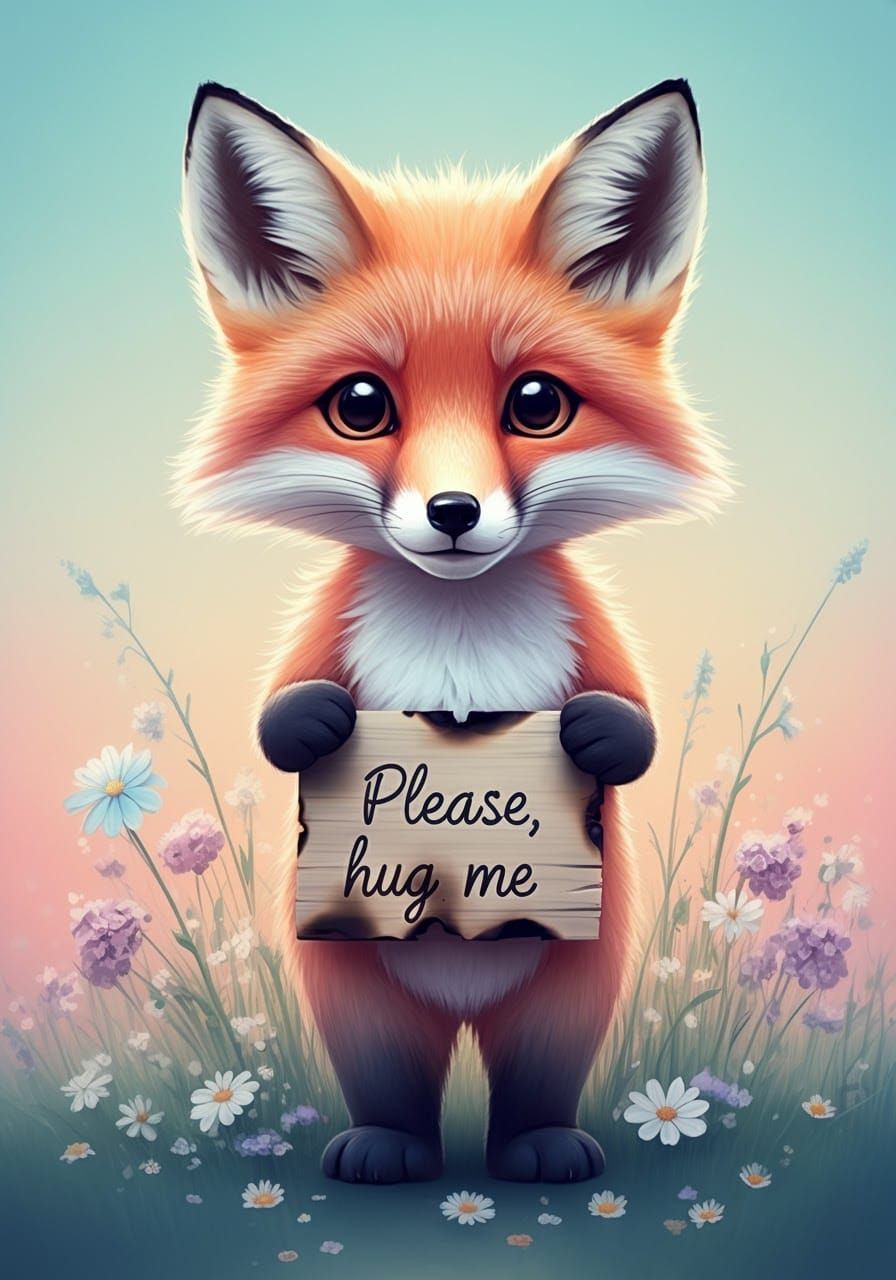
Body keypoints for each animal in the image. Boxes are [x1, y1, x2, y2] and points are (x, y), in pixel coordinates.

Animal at [175, 78, 729, 1184]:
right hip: (359, 996)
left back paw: (539, 1146)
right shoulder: (325, 629)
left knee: (535, 1082)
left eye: (536, 402)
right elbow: (277, 711)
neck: (460, 647)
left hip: (566, 992)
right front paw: (313, 723)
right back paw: (388, 1146)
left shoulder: (592, 632)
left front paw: (595, 734)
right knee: (390, 1083)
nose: (454, 511)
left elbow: (635, 725)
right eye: (359, 405)